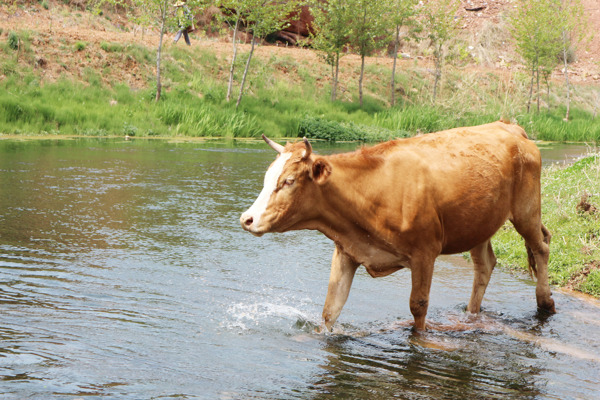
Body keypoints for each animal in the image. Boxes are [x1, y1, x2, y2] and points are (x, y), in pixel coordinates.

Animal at [238, 121, 552, 332]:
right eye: (267, 177)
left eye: (288, 181)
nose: (247, 219)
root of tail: (509, 126)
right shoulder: (347, 250)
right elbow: (331, 308)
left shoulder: (425, 252)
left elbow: (418, 305)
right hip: (479, 224)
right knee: (485, 264)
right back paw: (471, 315)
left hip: (526, 210)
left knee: (541, 247)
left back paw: (545, 303)